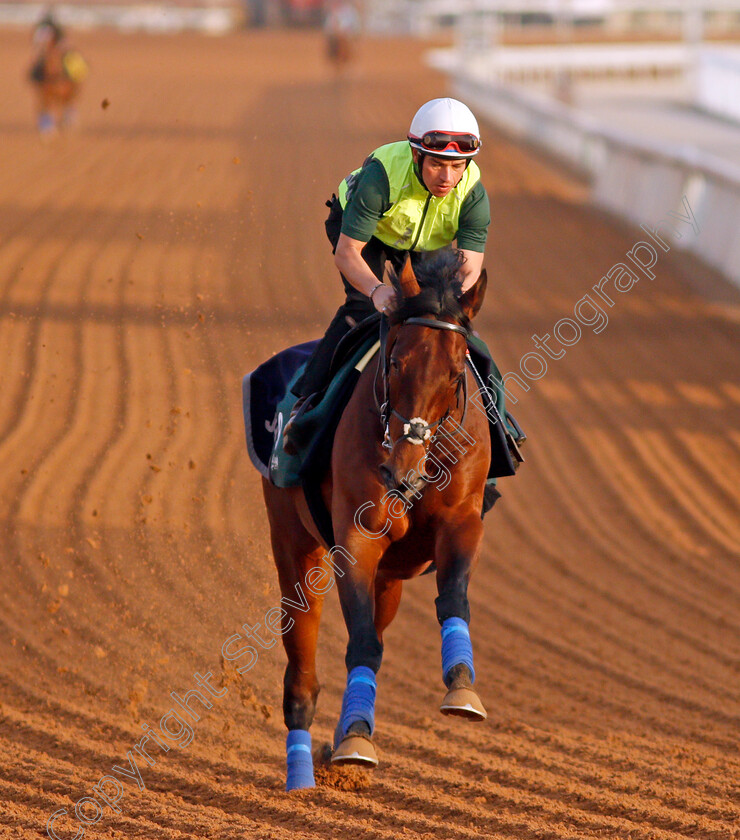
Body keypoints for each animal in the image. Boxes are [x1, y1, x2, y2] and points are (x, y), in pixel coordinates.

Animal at [260, 249, 492, 788]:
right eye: (394, 361)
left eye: (456, 373)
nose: (399, 470)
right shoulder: (357, 537)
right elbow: (363, 642)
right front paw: (355, 740)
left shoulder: (462, 520)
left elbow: (453, 597)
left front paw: (462, 688)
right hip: (293, 542)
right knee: (302, 666)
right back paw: (303, 771)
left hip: (390, 577)